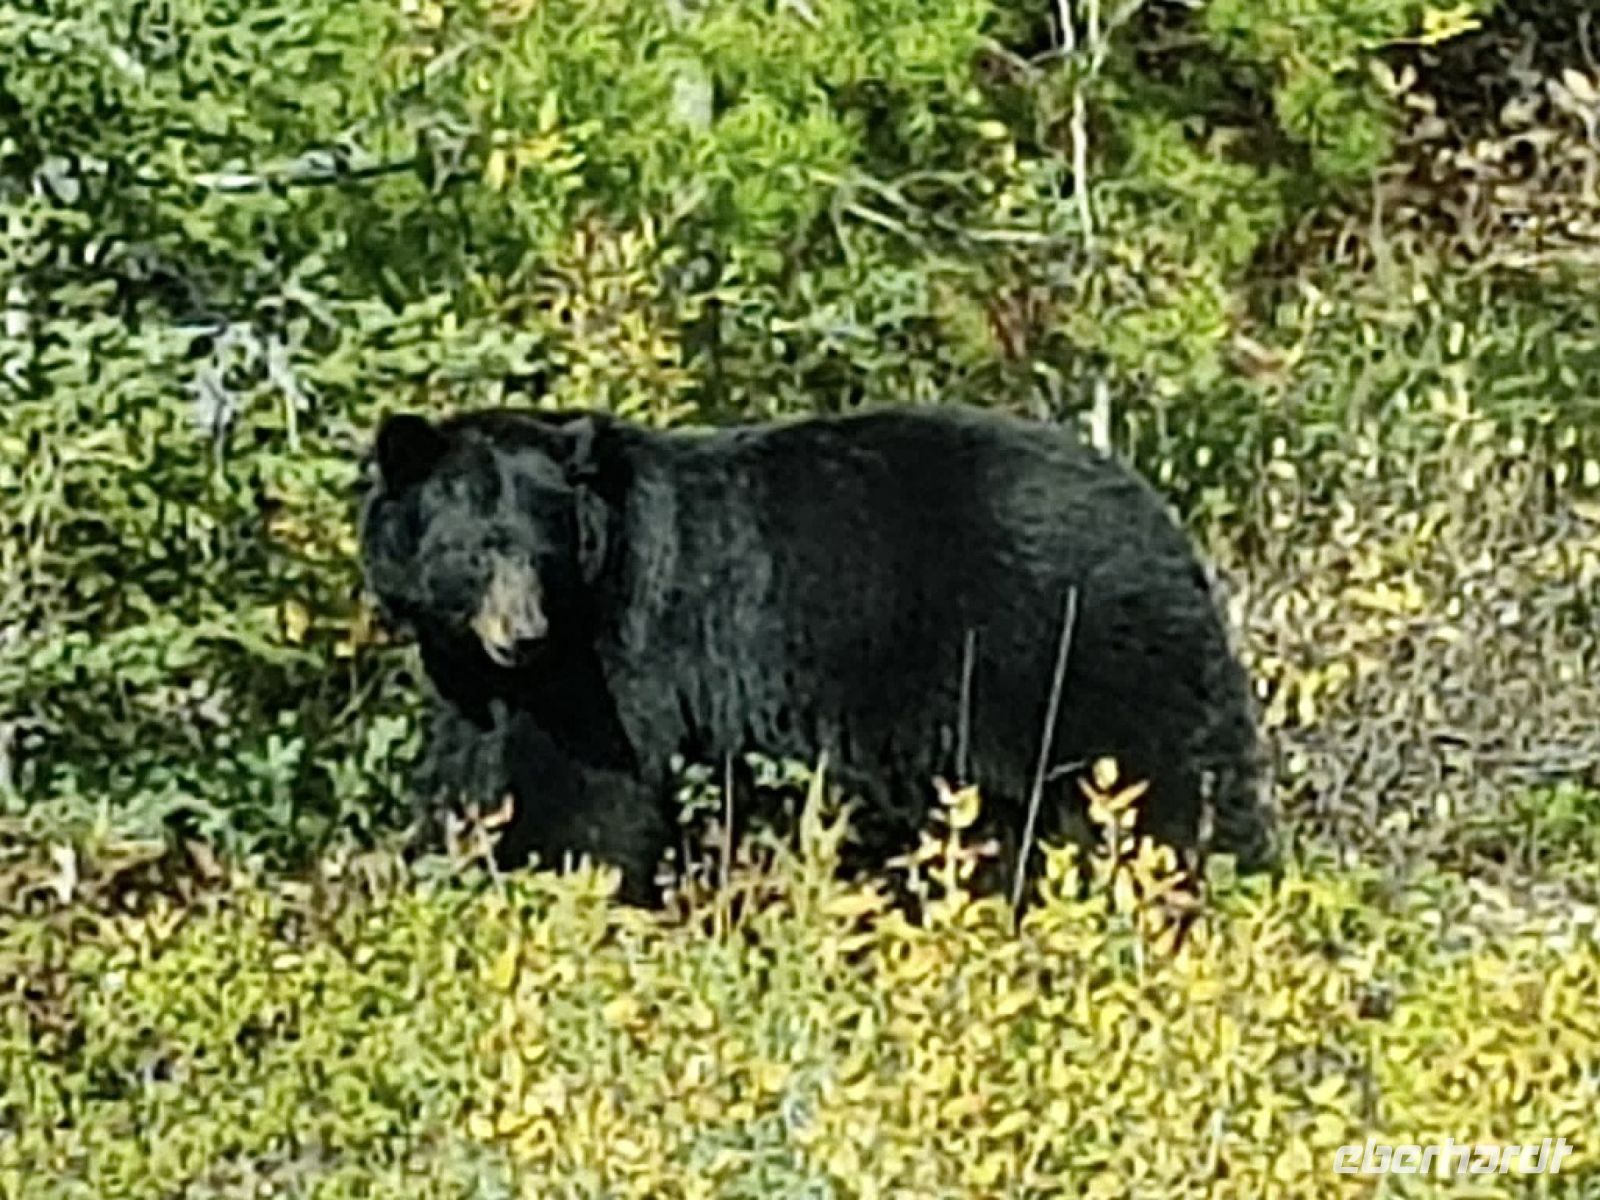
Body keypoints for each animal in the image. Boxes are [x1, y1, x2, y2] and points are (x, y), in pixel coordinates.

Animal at [359, 403, 1275, 905]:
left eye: (539, 550)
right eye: (475, 552)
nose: (522, 633)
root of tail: (1165, 527)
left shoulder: (615, 658)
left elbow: (587, 794)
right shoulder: (483, 678)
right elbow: (478, 767)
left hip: (1081, 654)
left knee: (1164, 791)